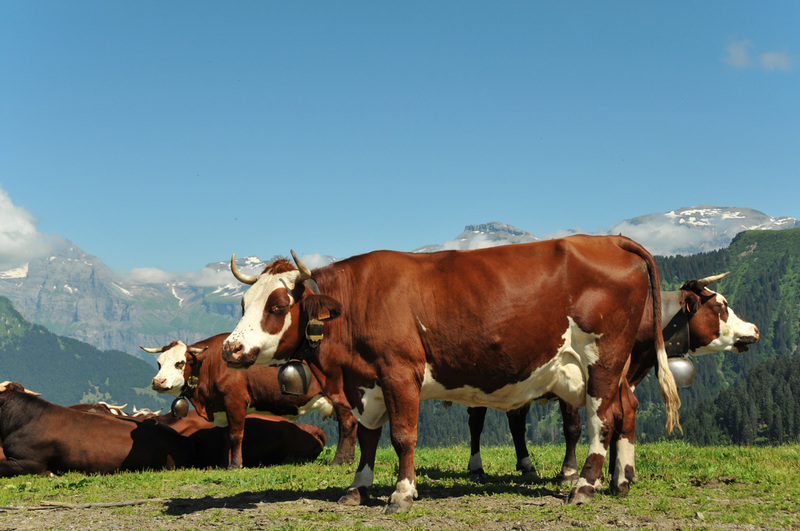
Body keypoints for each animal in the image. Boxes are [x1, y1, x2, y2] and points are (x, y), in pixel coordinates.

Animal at [145, 332, 356, 470]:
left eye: (179, 363)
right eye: (158, 363)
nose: (158, 382)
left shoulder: (235, 401)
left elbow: (235, 436)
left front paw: (235, 465)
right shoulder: (223, 409)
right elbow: (225, 437)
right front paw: (224, 464)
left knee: (347, 425)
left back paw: (339, 461)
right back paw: (350, 460)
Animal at [220, 236, 680, 512]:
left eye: (278, 305)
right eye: (243, 303)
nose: (230, 349)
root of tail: (607, 239)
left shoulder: (399, 371)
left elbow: (402, 436)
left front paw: (402, 493)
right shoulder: (365, 382)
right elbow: (368, 437)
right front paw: (358, 487)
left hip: (603, 359)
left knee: (602, 419)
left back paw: (584, 484)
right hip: (615, 368)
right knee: (627, 410)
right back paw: (622, 479)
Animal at [466, 274, 760, 486]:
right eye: (721, 305)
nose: (755, 329)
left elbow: (617, 419)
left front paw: (614, 470)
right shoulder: (570, 381)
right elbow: (573, 428)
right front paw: (570, 472)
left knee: (516, 423)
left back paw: (527, 466)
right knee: (476, 422)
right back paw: (476, 468)